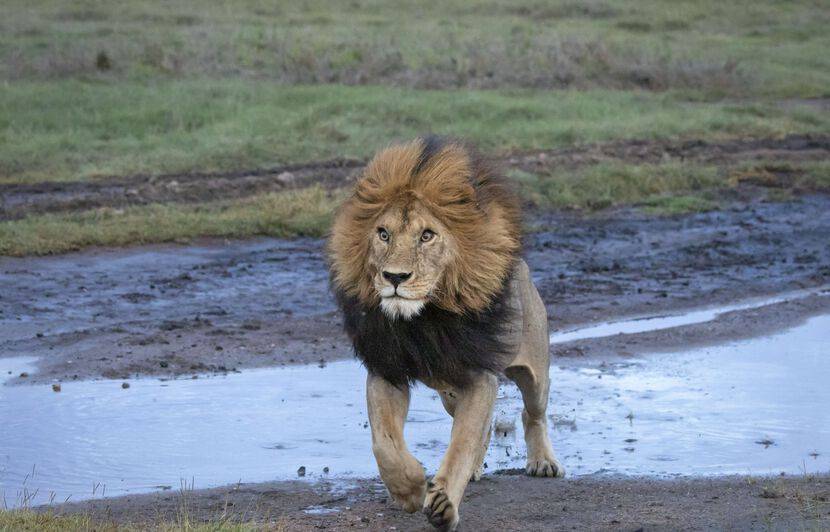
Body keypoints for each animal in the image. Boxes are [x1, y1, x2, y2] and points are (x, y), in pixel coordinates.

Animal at [328, 136, 564, 531]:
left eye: (426, 235)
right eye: (383, 233)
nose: (394, 277)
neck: (422, 322)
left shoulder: (479, 377)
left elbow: (461, 445)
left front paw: (443, 505)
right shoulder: (387, 372)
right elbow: (385, 443)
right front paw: (409, 489)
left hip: (533, 372)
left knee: (533, 414)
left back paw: (542, 461)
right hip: (449, 393)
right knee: (483, 426)